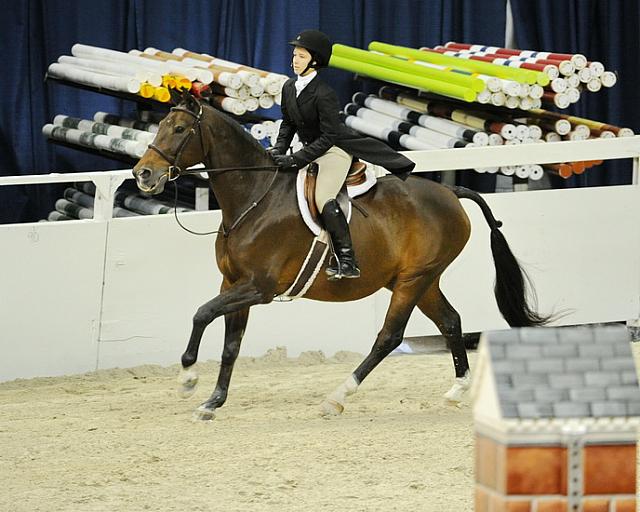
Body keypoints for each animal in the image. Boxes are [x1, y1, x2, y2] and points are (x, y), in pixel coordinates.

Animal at [132, 94, 548, 422]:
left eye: (180, 129)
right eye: (162, 126)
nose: (143, 174)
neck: (254, 198)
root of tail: (451, 193)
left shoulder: (259, 287)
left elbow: (201, 313)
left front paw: (187, 378)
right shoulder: (233, 283)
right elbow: (230, 343)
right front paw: (212, 402)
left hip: (413, 280)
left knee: (389, 336)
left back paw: (337, 397)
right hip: (420, 279)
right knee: (450, 322)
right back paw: (457, 390)